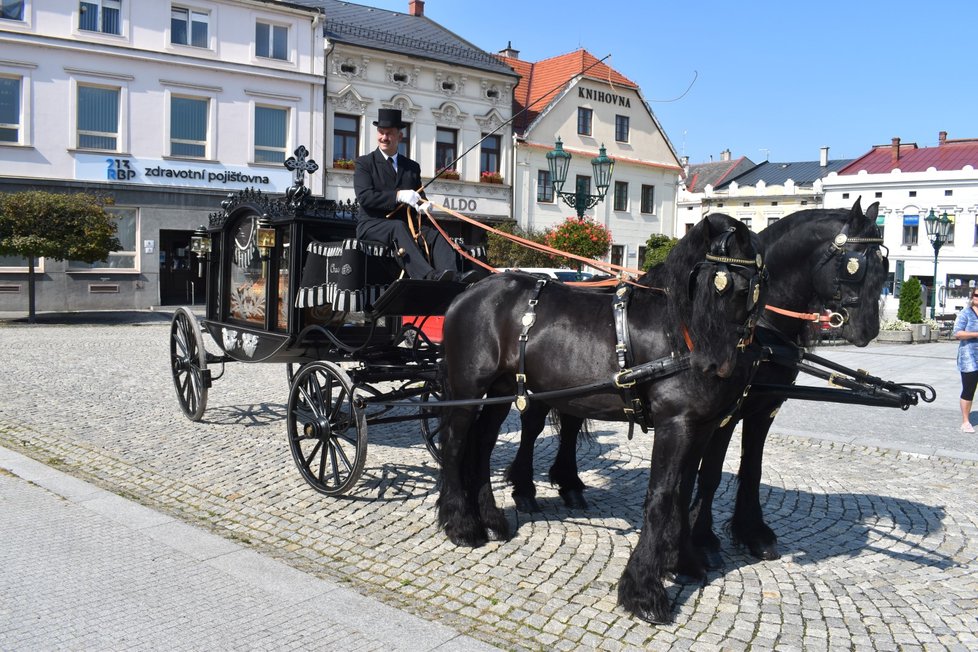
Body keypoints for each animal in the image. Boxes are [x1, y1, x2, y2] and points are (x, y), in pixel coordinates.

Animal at [438, 213, 768, 620]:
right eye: (706, 280)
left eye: (746, 287)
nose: (711, 363)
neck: (679, 334)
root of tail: (469, 290)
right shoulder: (674, 425)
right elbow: (661, 496)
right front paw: (643, 591)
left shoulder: (701, 427)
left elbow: (683, 491)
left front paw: (683, 562)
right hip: (468, 388)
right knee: (455, 445)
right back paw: (461, 525)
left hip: (502, 388)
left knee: (482, 445)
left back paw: (491, 519)